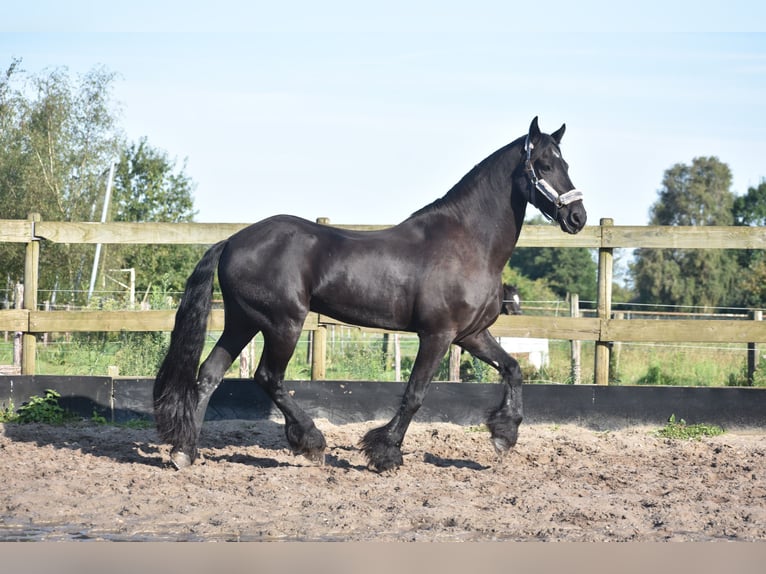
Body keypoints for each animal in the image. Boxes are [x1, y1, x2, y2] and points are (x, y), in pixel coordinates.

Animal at [154, 117, 588, 472]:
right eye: (544, 165)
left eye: (566, 164)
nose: (577, 217)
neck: (468, 242)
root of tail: (231, 240)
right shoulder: (438, 335)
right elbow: (415, 394)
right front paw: (385, 452)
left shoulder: (471, 335)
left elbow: (513, 369)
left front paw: (504, 435)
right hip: (283, 323)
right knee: (267, 377)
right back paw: (311, 442)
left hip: (243, 321)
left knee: (209, 375)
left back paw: (185, 452)